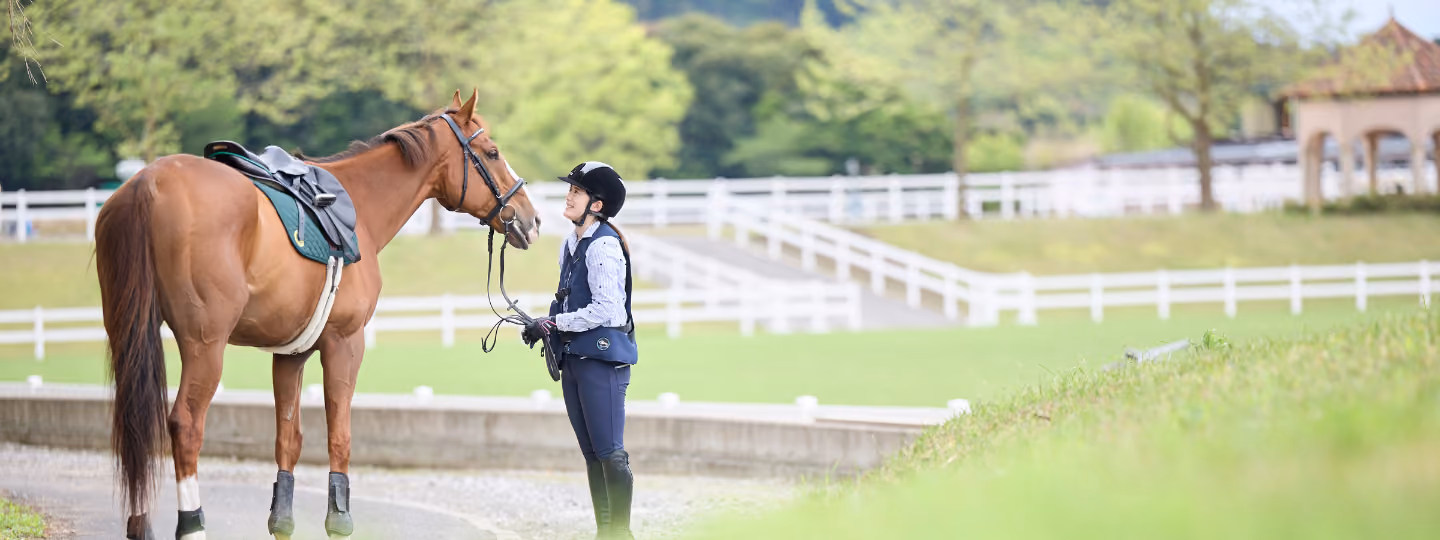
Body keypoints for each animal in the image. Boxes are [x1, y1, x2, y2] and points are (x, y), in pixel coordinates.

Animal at [93, 89, 540, 540]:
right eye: (492, 152)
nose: (532, 218)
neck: (359, 207)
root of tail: (149, 182)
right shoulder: (345, 343)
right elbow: (339, 436)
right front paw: (339, 518)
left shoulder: (290, 356)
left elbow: (288, 439)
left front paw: (282, 520)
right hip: (205, 345)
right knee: (185, 425)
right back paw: (192, 525)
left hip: (128, 334)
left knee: (134, 422)